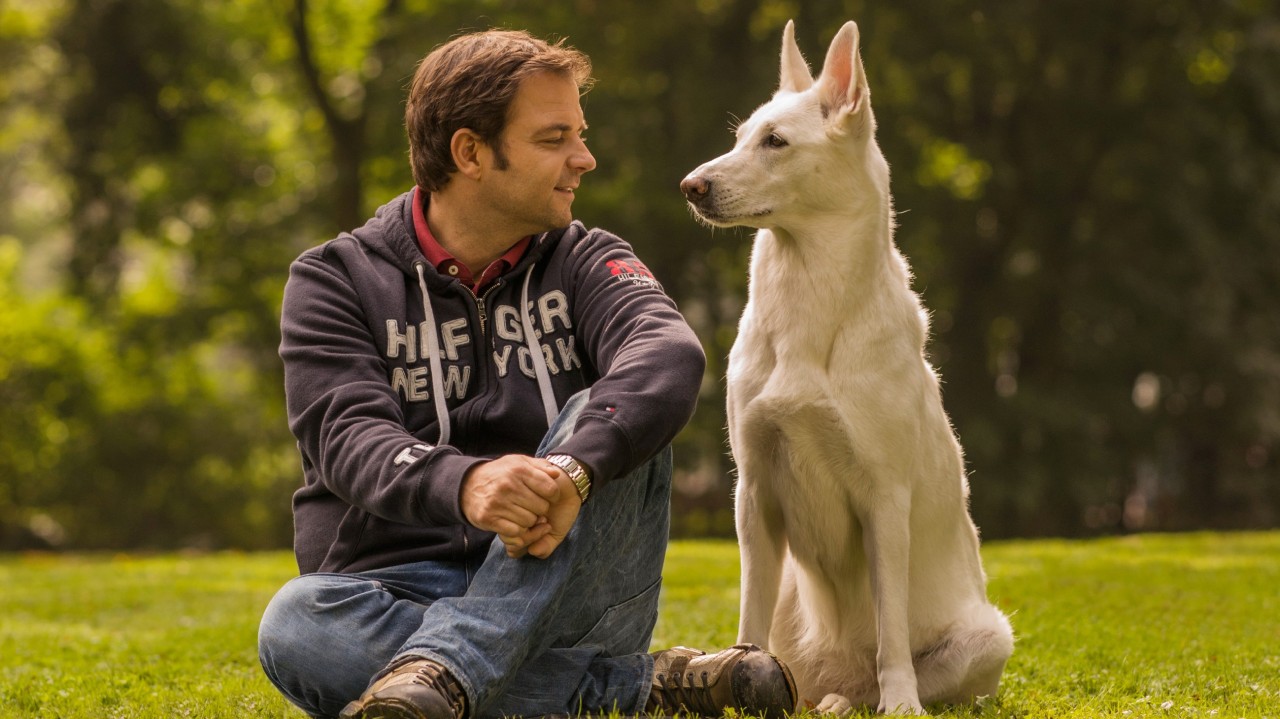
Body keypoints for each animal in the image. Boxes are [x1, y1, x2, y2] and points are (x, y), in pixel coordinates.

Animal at [675, 19, 1013, 711]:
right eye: (741, 138)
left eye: (775, 142)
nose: (691, 186)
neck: (808, 305)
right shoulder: (752, 495)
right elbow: (747, 619)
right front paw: (734, 669)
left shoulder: (883, 500)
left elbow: (889, 628)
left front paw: (902, 703)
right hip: (789, 597)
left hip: (988, 638)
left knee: (883, 677)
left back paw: (861, 700)